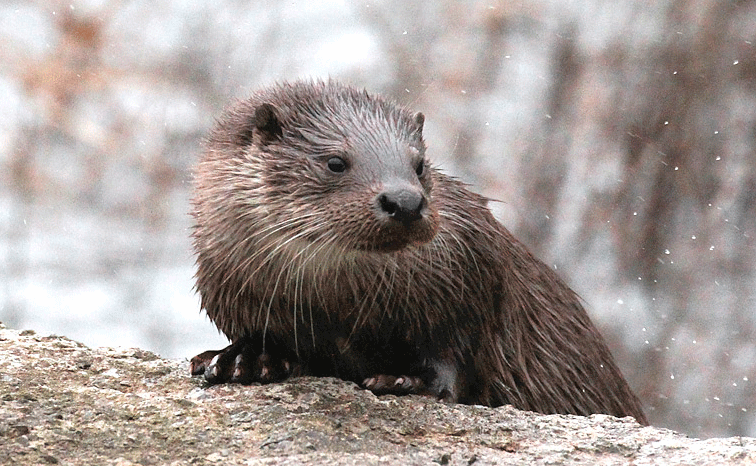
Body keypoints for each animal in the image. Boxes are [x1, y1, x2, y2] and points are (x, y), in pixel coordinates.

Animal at [189, 81, 648, 426]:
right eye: (335, 162)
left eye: (420, 165)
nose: (405, 202)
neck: (343, 306)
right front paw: (245, 358)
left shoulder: (470, 279)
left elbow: (454, 354)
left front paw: (407, 380)